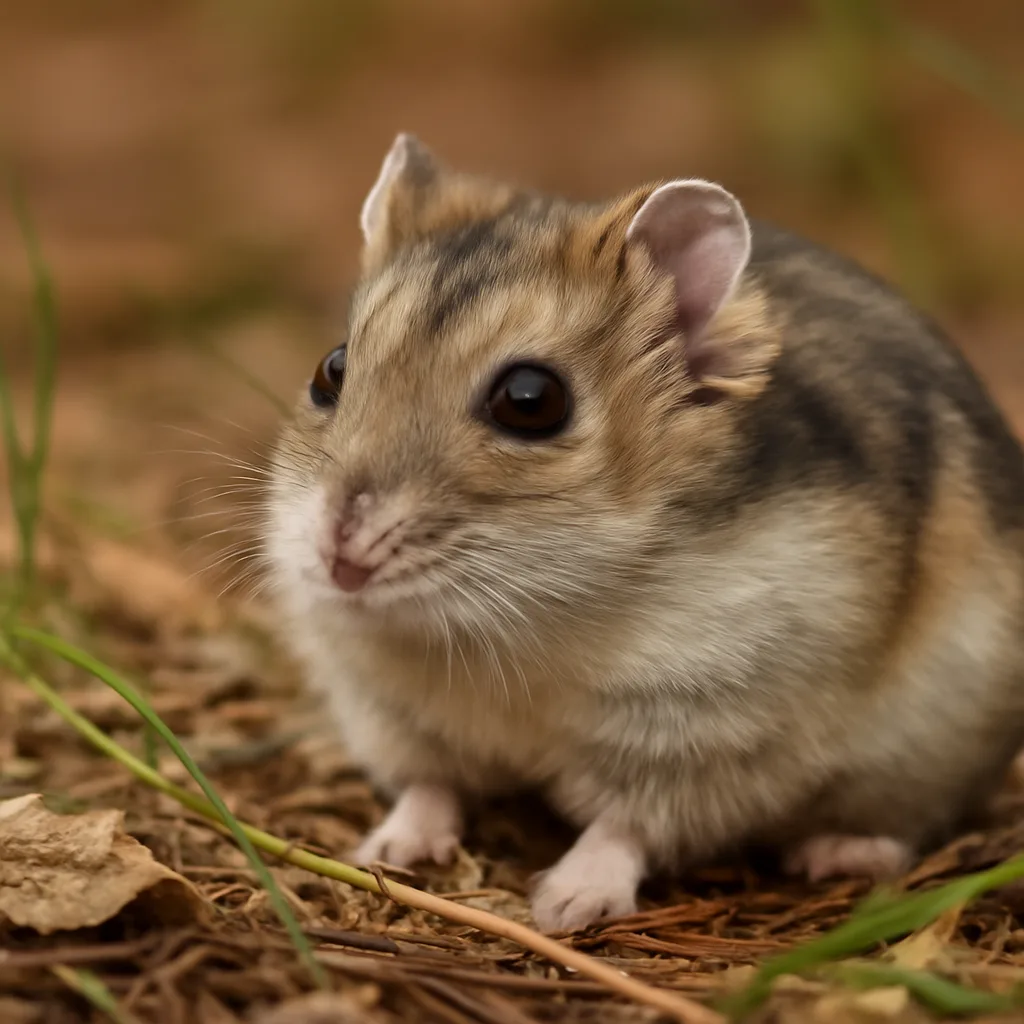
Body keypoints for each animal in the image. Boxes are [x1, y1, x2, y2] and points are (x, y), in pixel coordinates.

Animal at [264, 133, 1024, 933]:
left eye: (530, 400)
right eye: (331, 369)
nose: (339, 557)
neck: (517, 625)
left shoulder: (709, 735)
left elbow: (624, 826)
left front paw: (563, 908)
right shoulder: (390, 712)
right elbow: (428, 787)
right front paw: (379, 851)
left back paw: (839, 854)